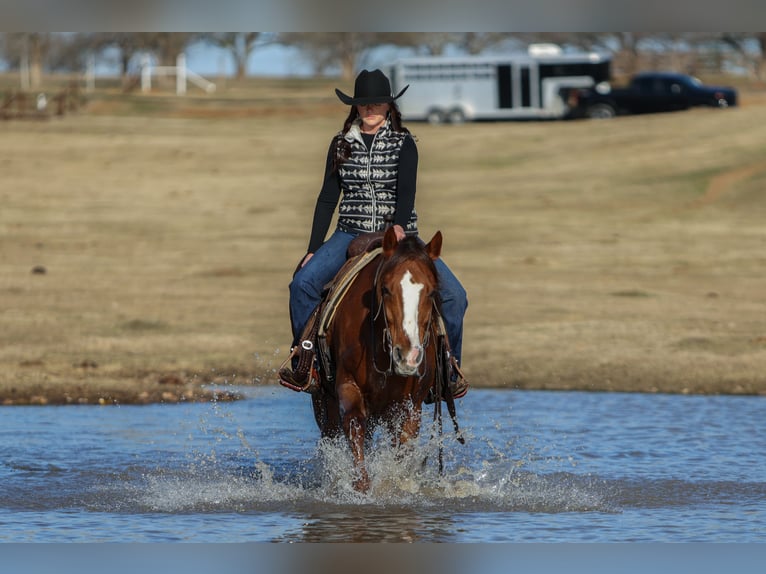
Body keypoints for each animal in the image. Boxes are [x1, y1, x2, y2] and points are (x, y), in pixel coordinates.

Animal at [310, 226, 460, 492]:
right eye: (386, 289)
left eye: (432, 292)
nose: (408, 356)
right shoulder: (348, 387)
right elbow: (354, 429)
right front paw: (361, 487)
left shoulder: (410, 405)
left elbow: (403, 446)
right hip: (323, 401)